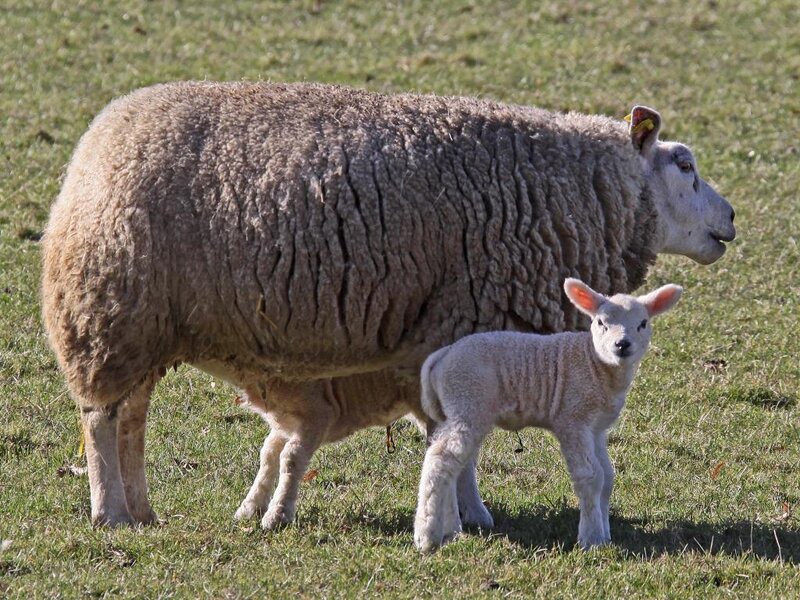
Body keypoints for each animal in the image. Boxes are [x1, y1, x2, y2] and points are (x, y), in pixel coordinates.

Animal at [413, 277, 683, 552]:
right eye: (600, 322)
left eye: (643, 324)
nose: (622, 345)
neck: (595, 363)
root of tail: (443, 355)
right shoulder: (572, 419)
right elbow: (591, 477)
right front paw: (592, 538)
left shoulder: (596, 428)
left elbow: (607, 478)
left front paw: (605, 534)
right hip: (468, 399)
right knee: (440, 458)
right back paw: (426, 537)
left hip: (461, 409)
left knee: (455, 464)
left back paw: (450, 529)